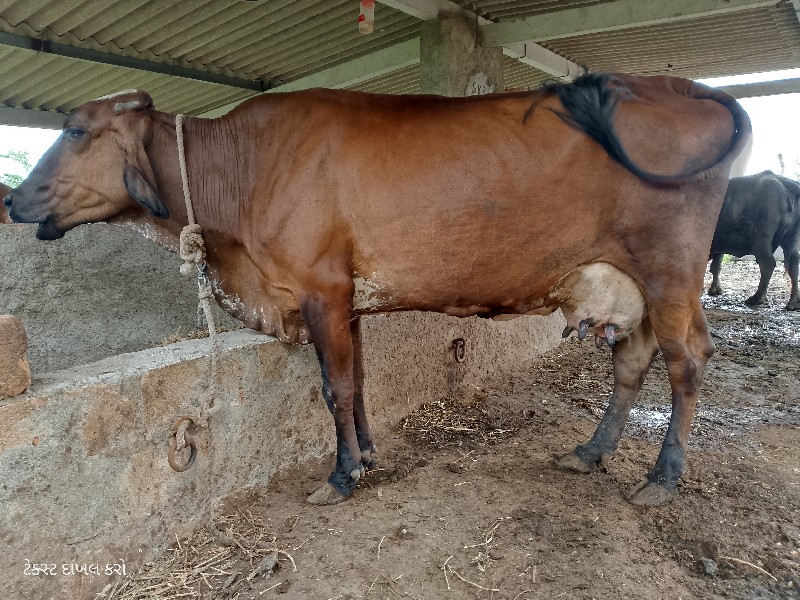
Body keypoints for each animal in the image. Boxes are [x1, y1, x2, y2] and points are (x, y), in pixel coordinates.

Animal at [4, 73, 750, 507]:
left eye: (75, 129)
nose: (13, 199)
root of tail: (680, 84)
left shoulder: (319, 286)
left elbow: (333, 387)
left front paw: (340, 477)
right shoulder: (349, 296)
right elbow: (357, 381)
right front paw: (364, 454)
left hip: (671, 271)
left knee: (687, 361)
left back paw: (662, 478)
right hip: (633, 282)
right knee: (633, 358)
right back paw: (591, 452)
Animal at [708, 171, 800, 310]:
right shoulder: (719, 246)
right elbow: (716, 266)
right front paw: (715, 290)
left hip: (761, 240)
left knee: (767, 263)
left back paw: (757, 298)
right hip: (791, 238)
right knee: (794, 263)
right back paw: (793, 302)